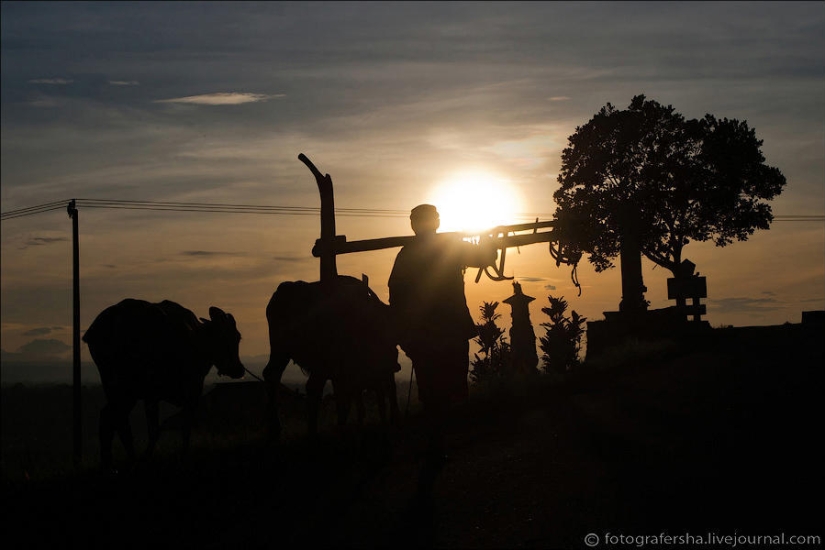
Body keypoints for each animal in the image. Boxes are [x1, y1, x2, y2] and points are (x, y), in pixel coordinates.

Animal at [83, 300, 245, 472]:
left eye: (237, 337)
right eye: (229, 336)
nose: (239, 370)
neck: (196, 340)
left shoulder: (154, 397)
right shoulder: (186, 393)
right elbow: (177, 428)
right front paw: (178, 456)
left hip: (116, 390)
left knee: (112, 419)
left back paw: (115, 462)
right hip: (126, 391)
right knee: (116, 420)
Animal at [262, 276, 400, 440]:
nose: (396, 365)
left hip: (281, 351)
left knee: (272, 375)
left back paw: (275, 428)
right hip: (319, 360)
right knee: (313, 386)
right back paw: (312, 430)